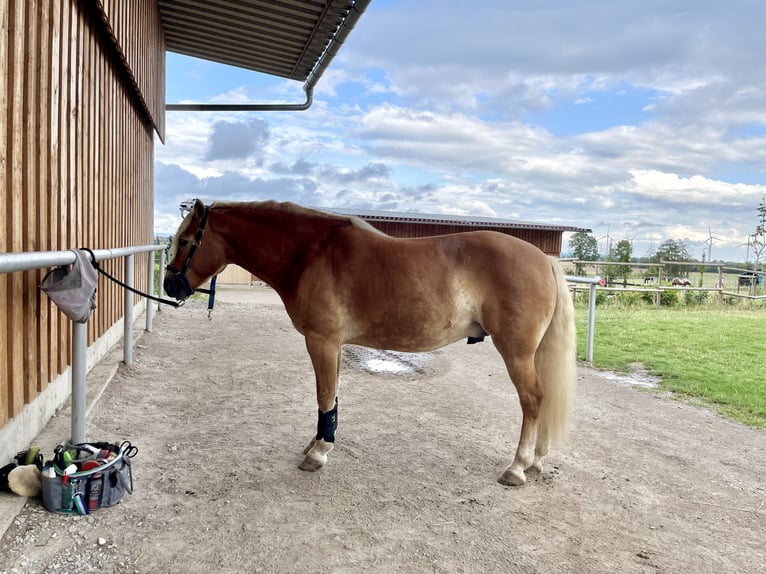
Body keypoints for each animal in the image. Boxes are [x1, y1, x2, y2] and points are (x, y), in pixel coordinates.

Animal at [166, 200, 576, 488]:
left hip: (517, 354)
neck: (309, 252)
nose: (170, 286)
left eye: (186, 241)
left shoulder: (322, 341)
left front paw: (318, 453)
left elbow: (324, 395)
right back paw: (536, 460)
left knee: (533, 400)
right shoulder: (332, 345)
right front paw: (317, 443)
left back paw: (518, 467)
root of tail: (544, 259)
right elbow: (330, 398)